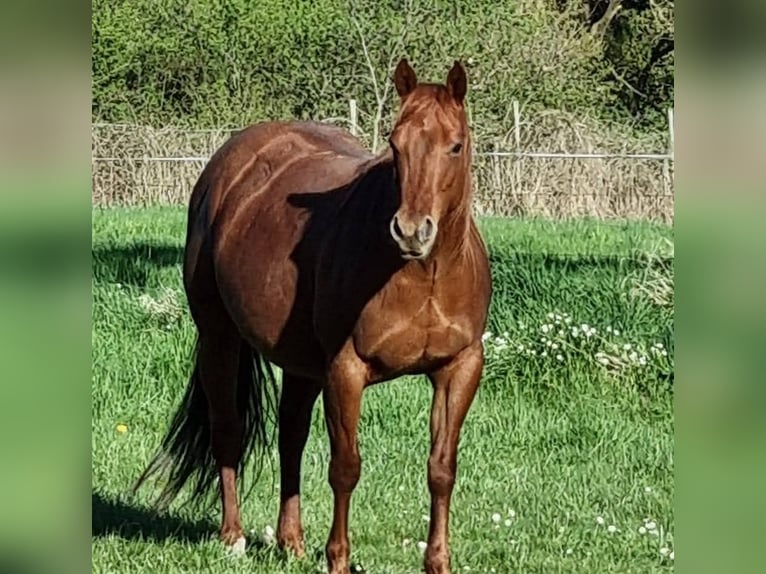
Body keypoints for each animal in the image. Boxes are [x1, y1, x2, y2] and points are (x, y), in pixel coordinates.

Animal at [134, 58, 492, 574]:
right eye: (395, 144)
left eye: (455, 145)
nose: (410, 231)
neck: (421, 274)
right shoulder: (345, 370)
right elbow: (345, 467)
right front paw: (338, 559)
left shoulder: (459, 368)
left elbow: (441, 468)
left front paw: (438, 562)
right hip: (219, 336)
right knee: (229, 428)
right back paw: (233, 536)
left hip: (300, 362)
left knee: (291, 438)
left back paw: (291, 541)